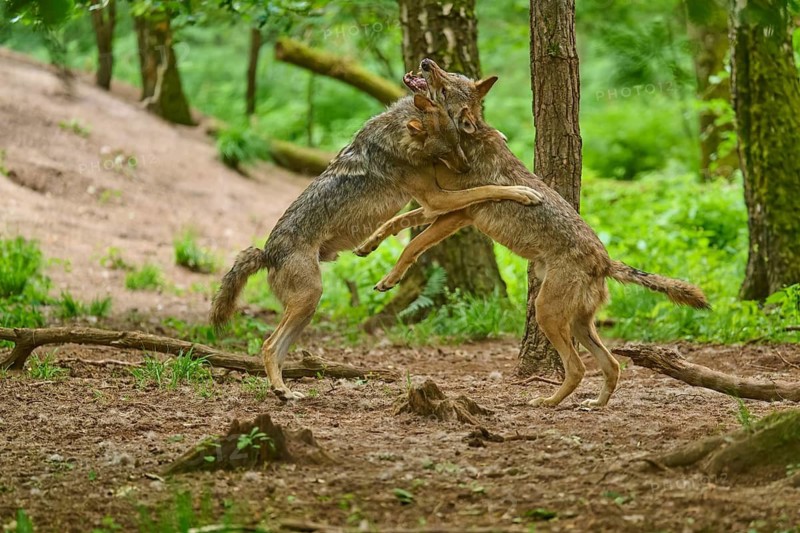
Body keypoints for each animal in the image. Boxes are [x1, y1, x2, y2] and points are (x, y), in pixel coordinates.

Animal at [210, 85, 542, 401]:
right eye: (447, 149)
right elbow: (486, 189)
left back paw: (285, 391)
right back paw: (282, 390)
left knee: (276, 350)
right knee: (268, 345)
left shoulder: (431, 202)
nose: (464, 168)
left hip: (307, 309)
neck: (397, 138)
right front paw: (523, 192)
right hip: (309, 299)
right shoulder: (436, 199)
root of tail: (267, 252)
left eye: (458, 143)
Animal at [356, 59, 710, 408]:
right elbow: (394, 224)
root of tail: (605, 262)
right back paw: (594, 404)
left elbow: (412, 245)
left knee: (578, 367)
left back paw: (547, 402)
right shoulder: (436, 208)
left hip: (546, 314)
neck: (462, 144)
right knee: (612, 364)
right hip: (578, 324)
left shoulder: (455, 212)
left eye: (444, 87)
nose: (427, 62)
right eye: (449, 72)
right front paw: (365, 246)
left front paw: (388, 280)